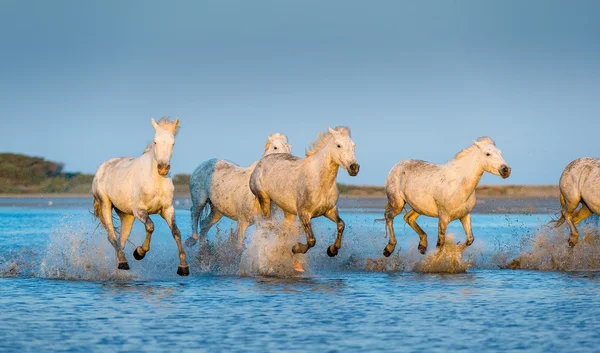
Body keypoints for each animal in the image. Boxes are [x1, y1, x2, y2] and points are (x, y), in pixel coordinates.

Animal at [91, 117, 189, 276]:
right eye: (155, 141)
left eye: (173, 142)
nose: (163, 168)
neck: (155, 181)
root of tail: (102, 167)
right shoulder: (139, 211)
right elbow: (150, 226)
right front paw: (139, 253)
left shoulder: (168, 209)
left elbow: (176, 232)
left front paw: (183, 267)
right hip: (105, 204)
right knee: (112, 236)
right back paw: (124, 263)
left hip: (127, 215)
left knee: (121, 240)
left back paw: (120, 265)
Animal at [250, 126, 360, 256]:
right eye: (338, 145)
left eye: (353, 145)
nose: (354, 168)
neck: (319, 181)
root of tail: (262, 161)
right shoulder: (304, 214)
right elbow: (311, 240)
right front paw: (296, 248)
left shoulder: (329, 210)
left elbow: (341, 225)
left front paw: (332, 250)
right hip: (264, 199)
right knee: (269, 224)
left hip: (287, 209)